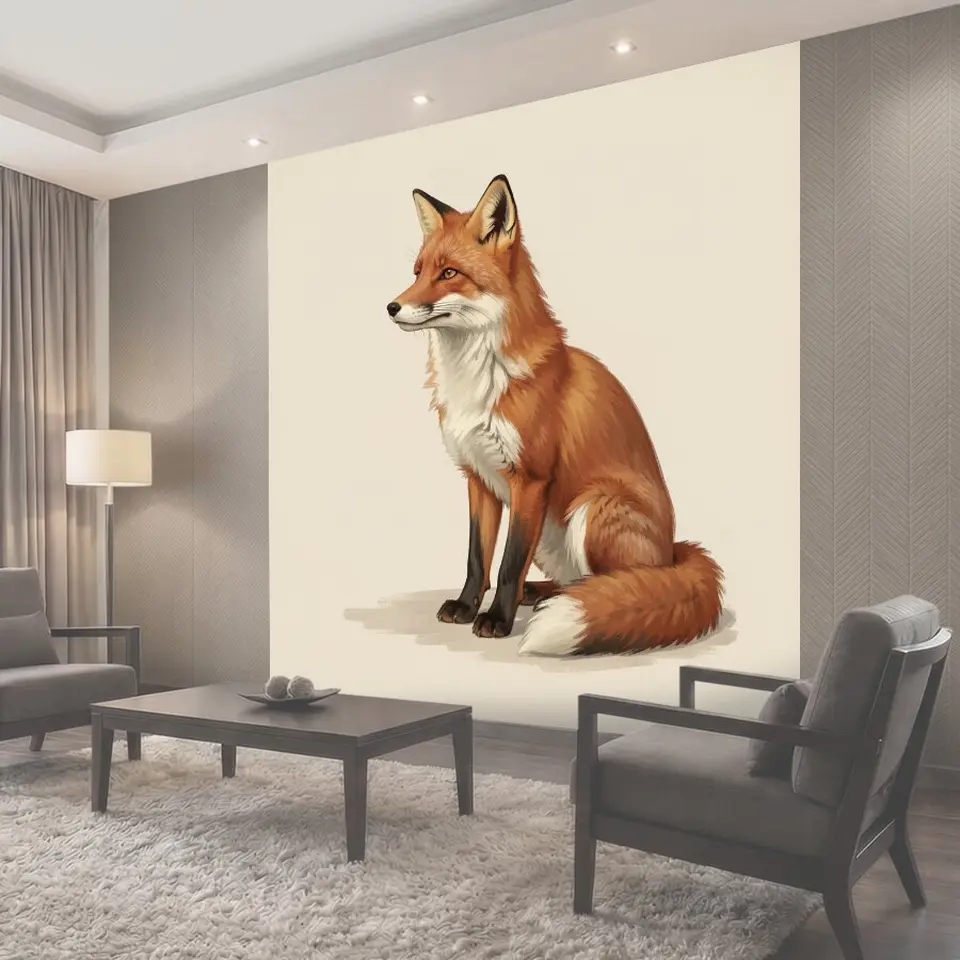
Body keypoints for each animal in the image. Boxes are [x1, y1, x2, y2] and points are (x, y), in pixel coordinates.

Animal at [386, 174, 723, 656]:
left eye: (449, 273)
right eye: (418, 272)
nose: (391, 307)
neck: (479, 378)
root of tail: (674, 552)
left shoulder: (530, 478)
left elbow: (508, 562)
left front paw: (496, 620)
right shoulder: (477, 476)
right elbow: (477, 557)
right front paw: (467, 607)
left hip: (592, 507)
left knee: (620, 588)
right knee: (578, 582)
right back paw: (542, 595)